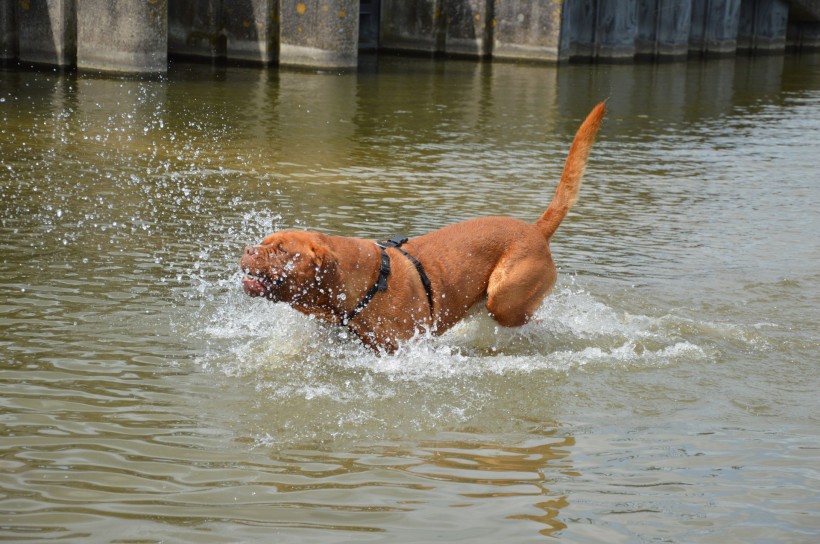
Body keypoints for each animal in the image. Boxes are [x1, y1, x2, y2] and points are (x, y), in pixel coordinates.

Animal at [240, 102, 604, 350]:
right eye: (264, 242)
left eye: (281, 250)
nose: (246, 250)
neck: (362, 285)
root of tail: (536, 229)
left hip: (504, 301)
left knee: (530, 320)